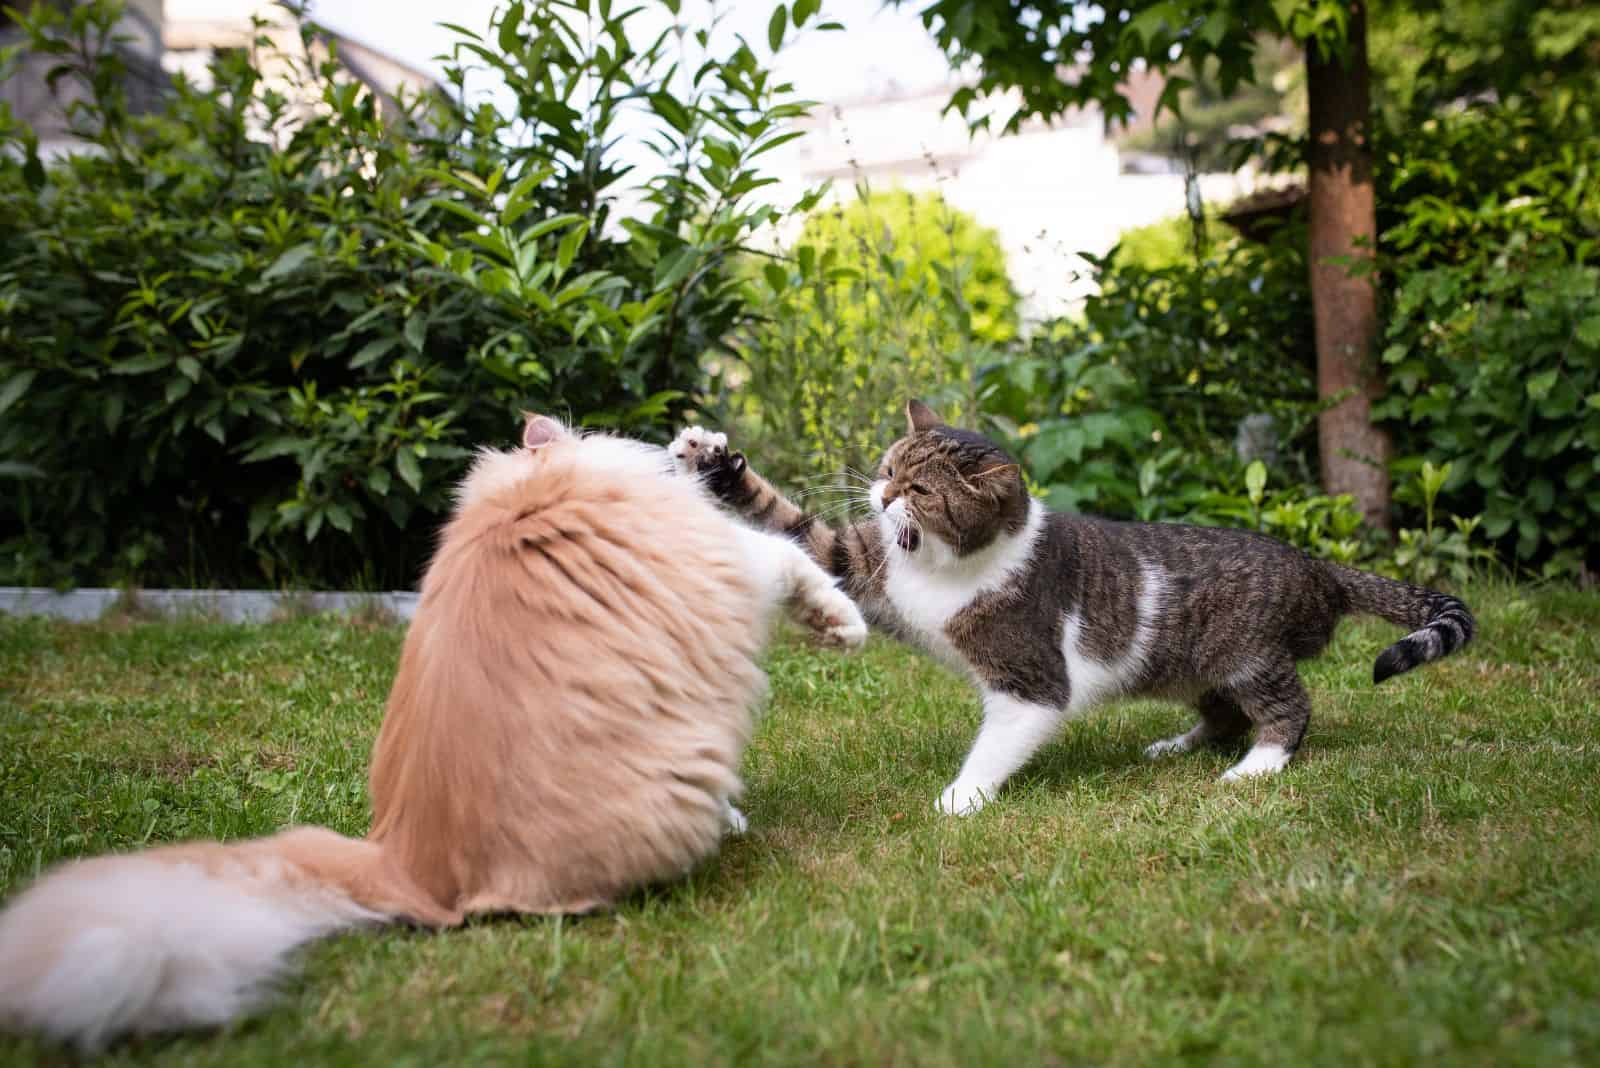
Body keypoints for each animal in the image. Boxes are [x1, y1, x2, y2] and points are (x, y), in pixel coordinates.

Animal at [0, 415, 864, 1048]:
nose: (676, 447)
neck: (532, 485)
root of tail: (404, 863)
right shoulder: (731, 557)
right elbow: (789, 559)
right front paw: (842, 624)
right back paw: (729, 824)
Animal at [672, 402, 1472, 818]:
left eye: (922, 491)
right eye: (889, 465)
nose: (881, 492)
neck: (941, 567)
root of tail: (1316, 565)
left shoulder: (1031, 684)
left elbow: (997, 744)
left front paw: (960, 799)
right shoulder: (861, 563)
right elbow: (795, 526)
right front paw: (712, 461)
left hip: (1247, 655)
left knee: (1287, 710)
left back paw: (1254, 769)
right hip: (1193, 666)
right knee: (1221, 714)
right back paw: (1176, 746)